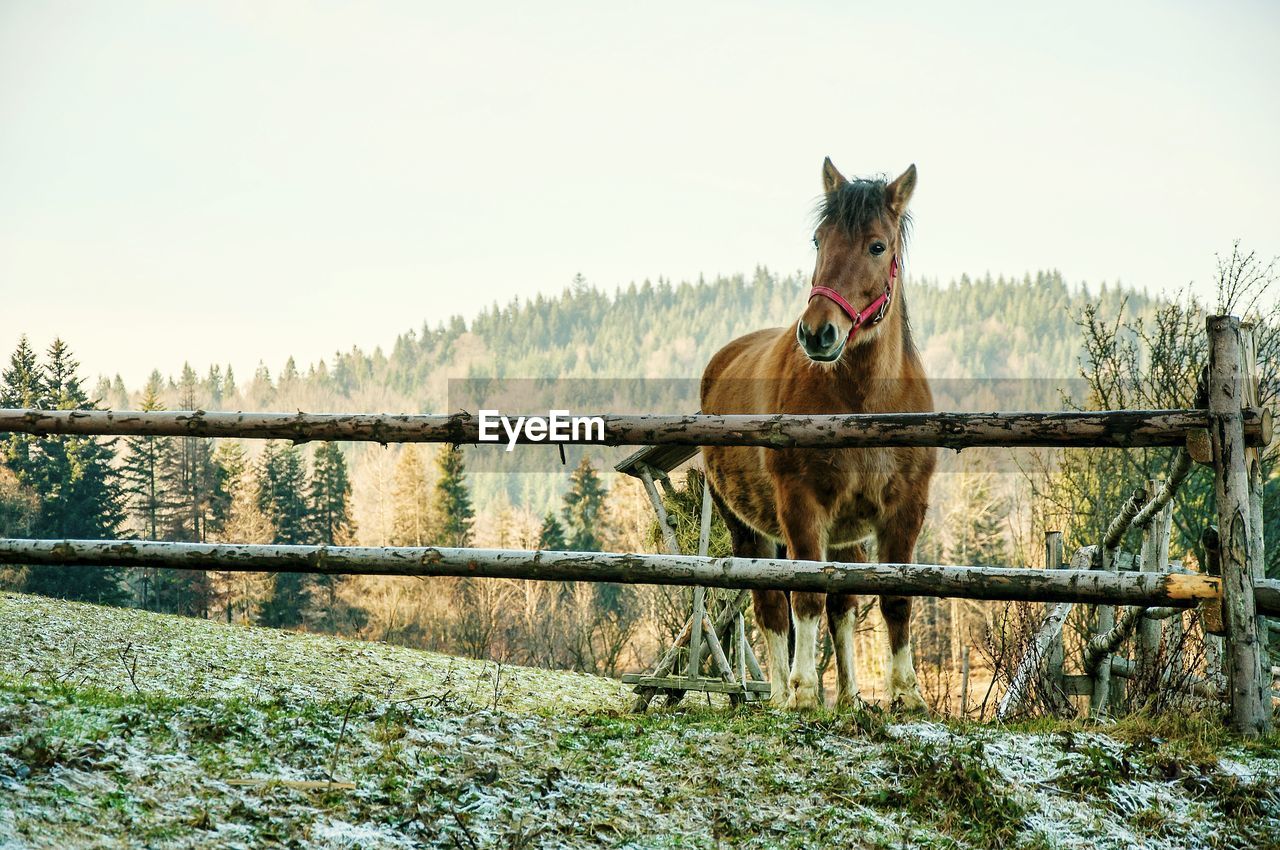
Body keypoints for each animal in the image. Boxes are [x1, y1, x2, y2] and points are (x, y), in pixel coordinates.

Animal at [706, 157, 936, 711]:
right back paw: (778, 693)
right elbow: (804, 595)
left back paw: (850, 696)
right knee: (770, 605)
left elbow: (894, 597)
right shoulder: (801, 506)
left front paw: (906, 694)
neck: (864, 404)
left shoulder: (905, 509)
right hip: (748, 529)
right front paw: (805, 692)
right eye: (818, 239)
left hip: (845, 537)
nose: (816, 333)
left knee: (842, 606)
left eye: (877, 246)